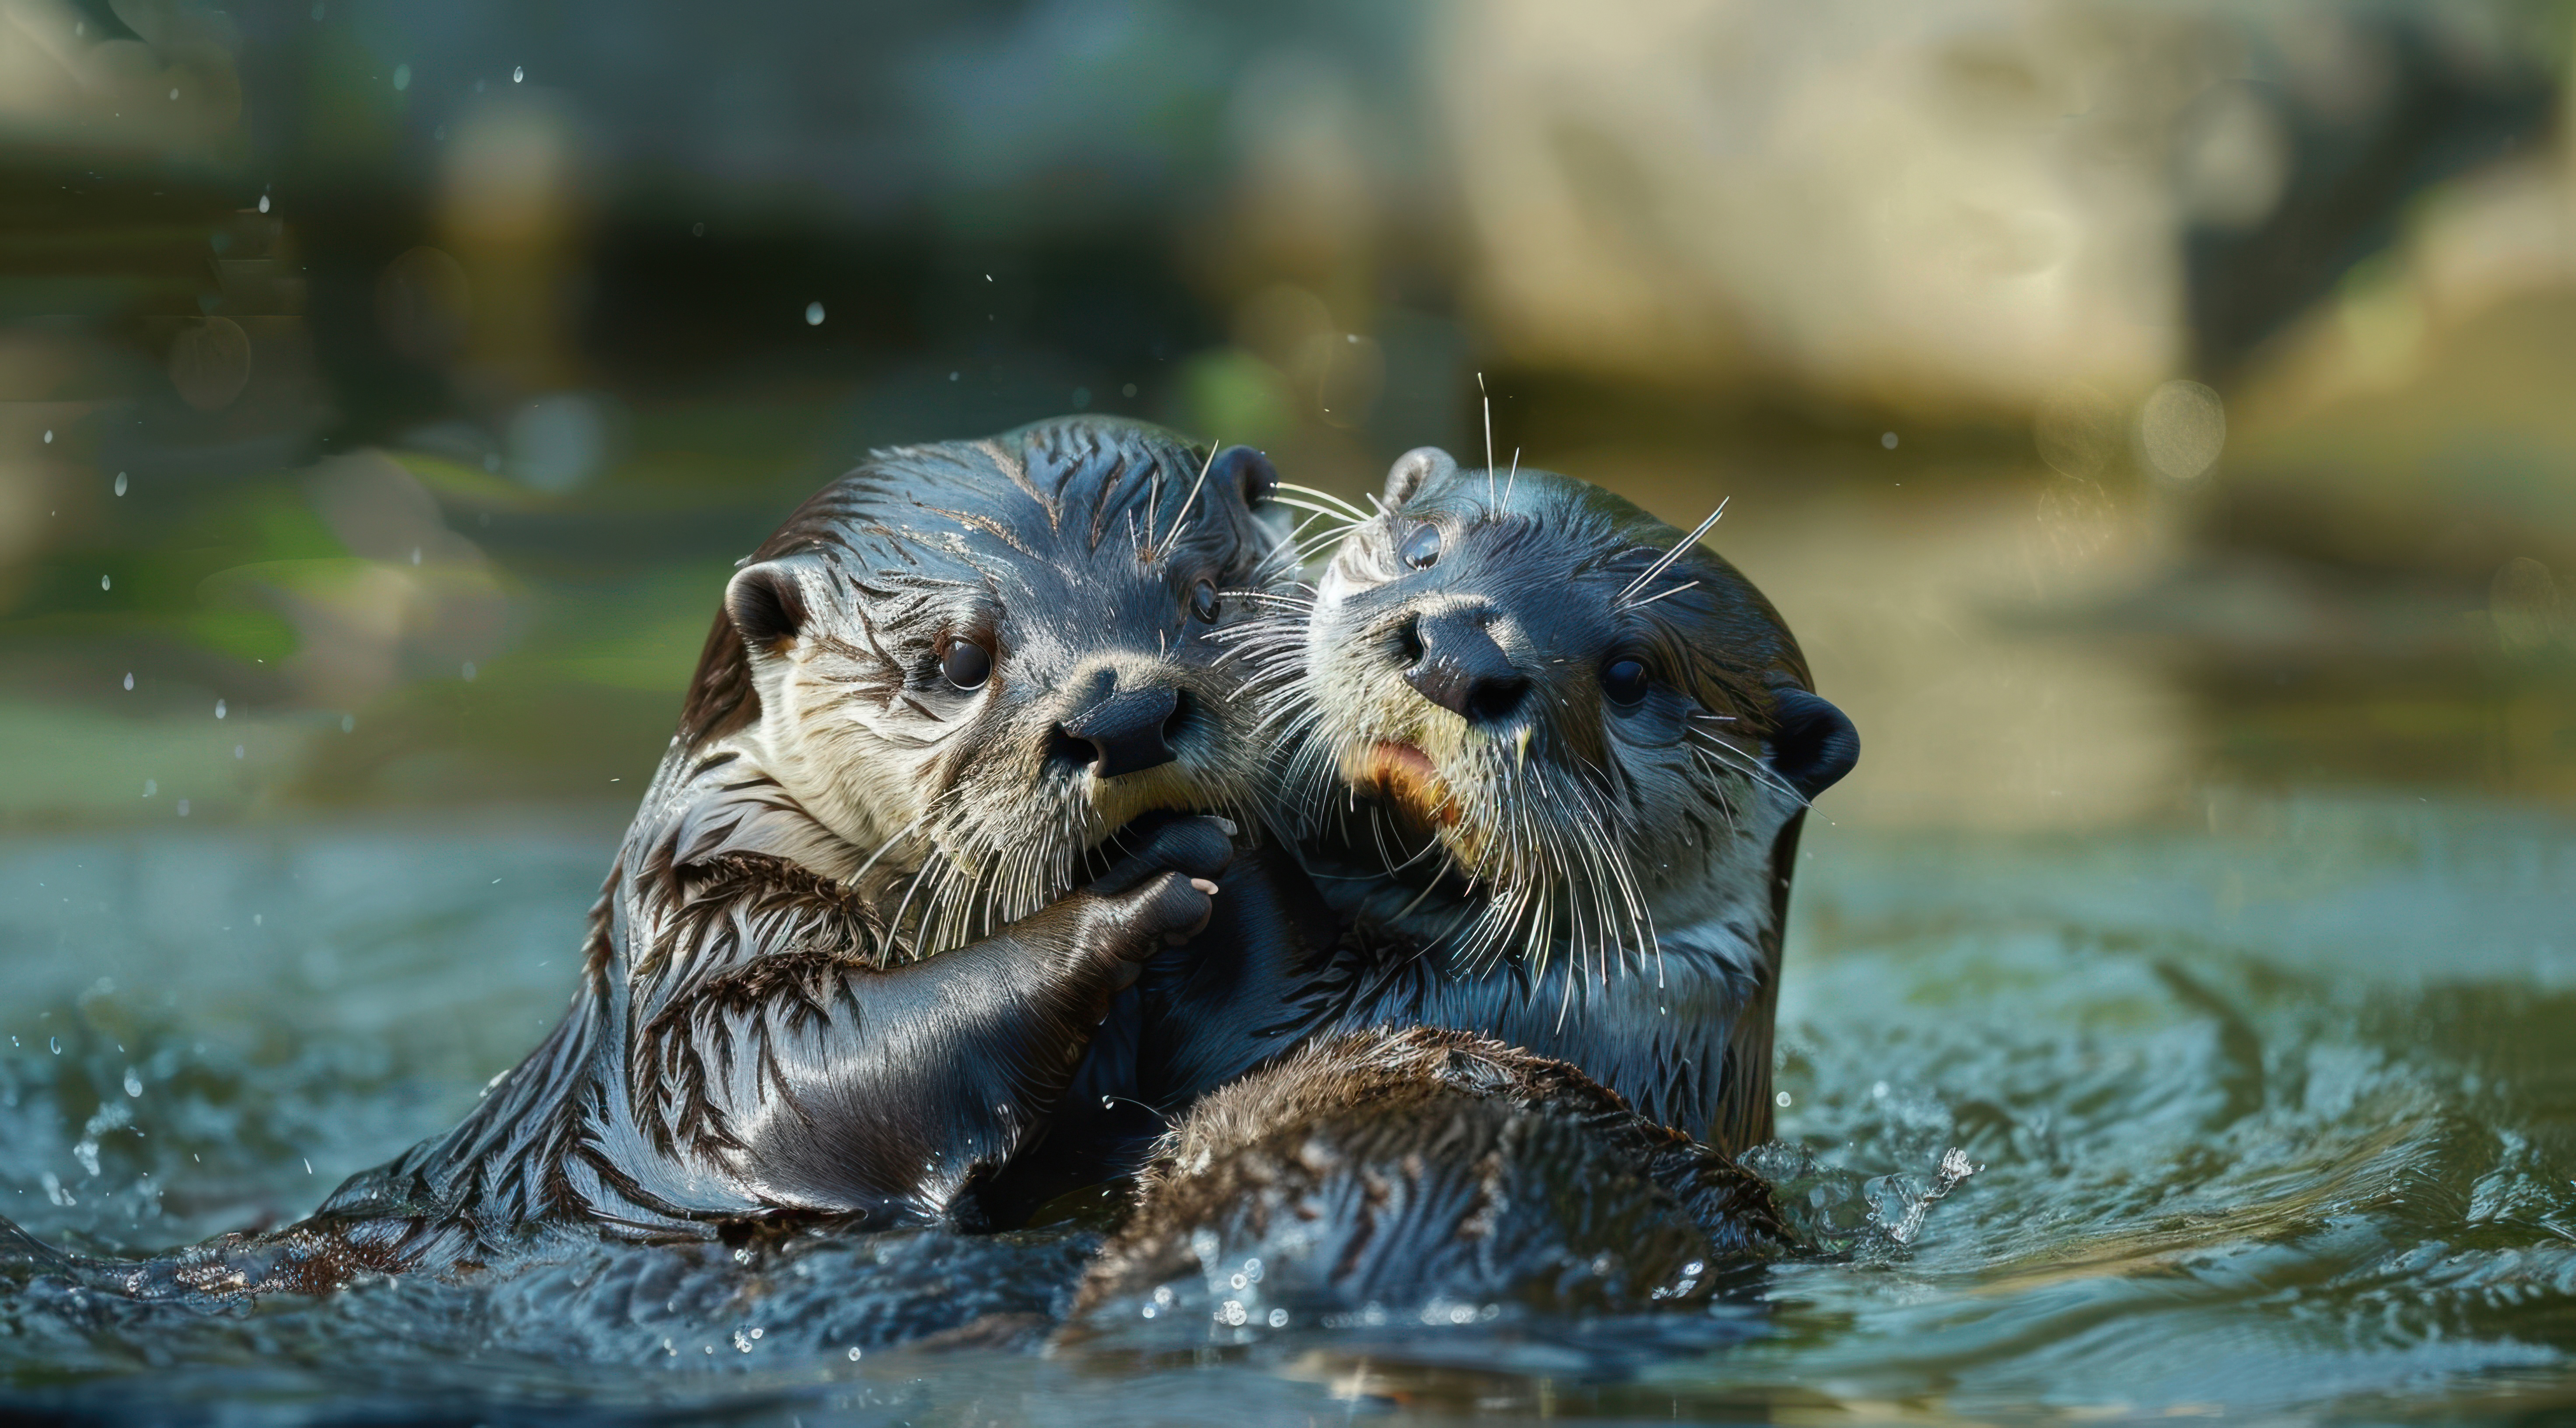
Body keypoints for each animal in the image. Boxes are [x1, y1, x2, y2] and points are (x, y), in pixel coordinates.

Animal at [4, 417, 1308, 1298]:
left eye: (1205, 593)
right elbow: (804, 1066)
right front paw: (1141, 887)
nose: (1126, 713)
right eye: (956, 657)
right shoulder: (702, 966)